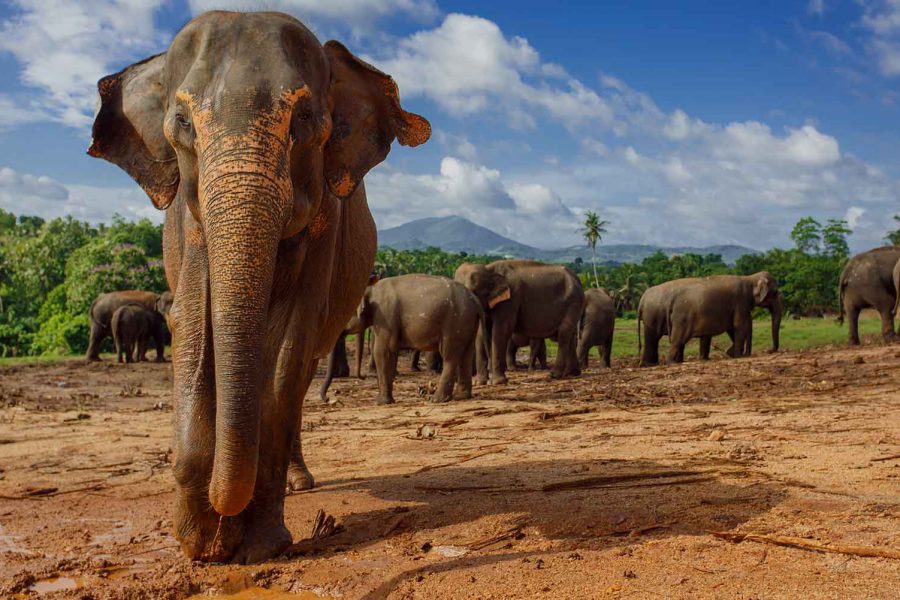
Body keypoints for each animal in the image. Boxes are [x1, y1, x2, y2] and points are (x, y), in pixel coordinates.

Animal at [88, 8, 432, 564]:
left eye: (305, 119)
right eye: (182, 122)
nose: (221, 527)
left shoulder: (326, 223)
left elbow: (288, 345)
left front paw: (258, 547)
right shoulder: (188, 223)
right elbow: (192, 321)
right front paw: (201, 544)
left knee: (301, 371)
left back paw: (298, 482)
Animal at [356, 274, 486, 406]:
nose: (362, 377)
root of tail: (476, 301)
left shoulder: (385, 316)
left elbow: (382, 351)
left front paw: (380, 402)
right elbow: (391, 351)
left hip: (456, 321)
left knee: (450, 356)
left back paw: (437, 399)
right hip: (469, 322)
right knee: (466, 355)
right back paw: (461, 397)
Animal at [640, 272, 780, 366]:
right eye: (775, 292)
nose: (770, 350)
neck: (749, 278)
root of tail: (643, 298)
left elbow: (731, 329)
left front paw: (730, 353)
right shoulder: (740, 302)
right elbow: (740, 325)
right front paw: (738, 356)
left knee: (654, 339)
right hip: (664, 317)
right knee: (671, 340)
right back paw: (668, 363)